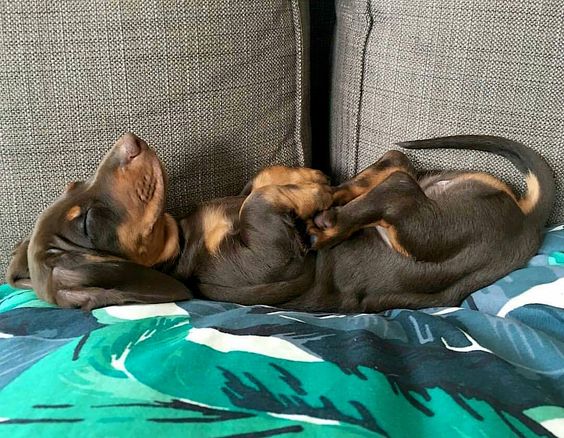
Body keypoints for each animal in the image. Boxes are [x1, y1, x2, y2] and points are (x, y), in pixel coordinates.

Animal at [5, 133, 556, 312]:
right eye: (86, 223)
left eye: (75, 186)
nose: (130, 143)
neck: (182, 238)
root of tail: (527, 222)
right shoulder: (269, 262)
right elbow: (258, 205)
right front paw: (309, 192)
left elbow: (257, 183)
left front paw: (305, 178)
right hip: (430, 232)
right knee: (400, 189)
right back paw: (332, 216)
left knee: (398, 163)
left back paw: (347, 186)